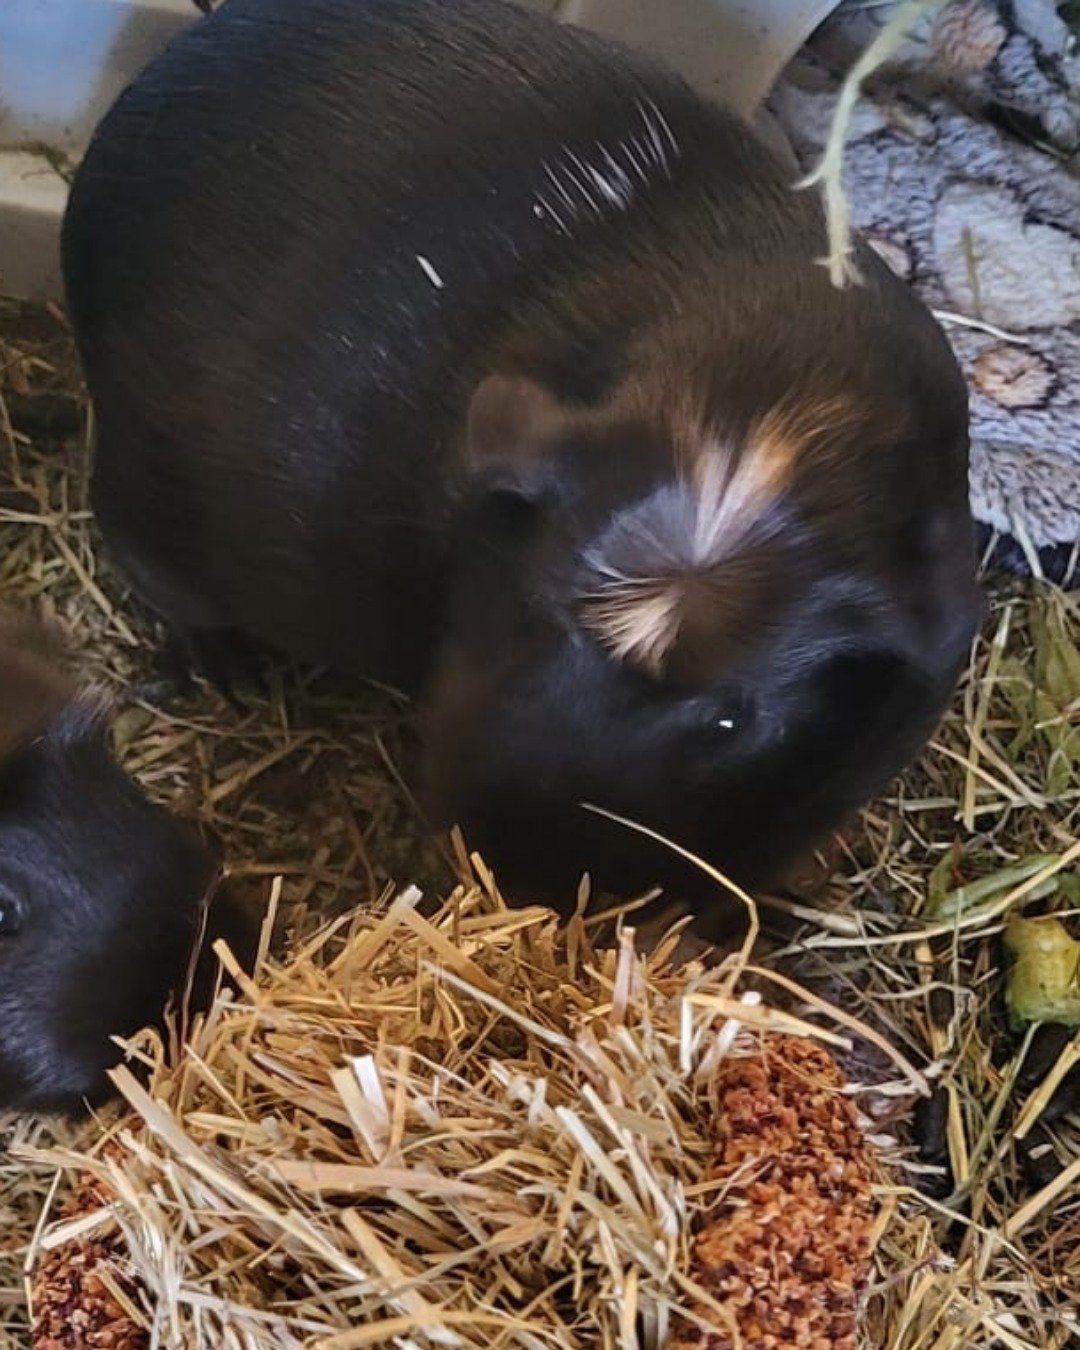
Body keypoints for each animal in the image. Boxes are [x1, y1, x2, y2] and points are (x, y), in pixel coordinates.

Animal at [61, 0, 983, 922]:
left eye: (733, 720)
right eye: (534, 612)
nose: (522, 876)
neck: (767, 417)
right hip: (141, 508)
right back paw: (227, 677)